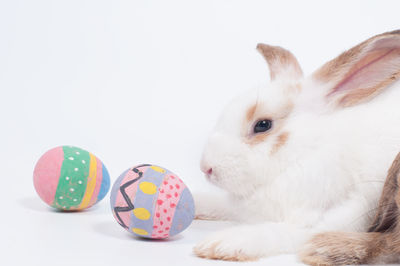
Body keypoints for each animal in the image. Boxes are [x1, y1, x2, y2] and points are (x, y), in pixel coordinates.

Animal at [192, 29, 400, 264]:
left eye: (262, 125)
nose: (206, 168)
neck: (308, 152)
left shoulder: (346, 213)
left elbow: (285, 233)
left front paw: (221, 243)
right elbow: (219, 203)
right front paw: (194, 201)